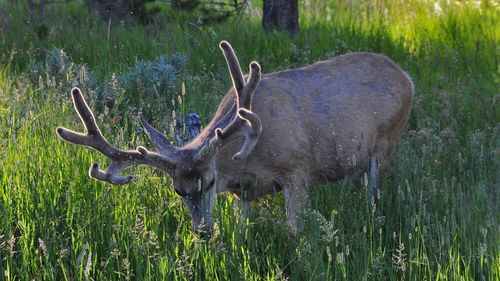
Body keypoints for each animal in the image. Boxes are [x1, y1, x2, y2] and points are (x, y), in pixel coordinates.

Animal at [55, 41, 414, 234]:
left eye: (211, 181)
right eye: (178, 190)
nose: (202, 232)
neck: (247, 157)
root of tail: (406, 76)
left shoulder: (299, 170)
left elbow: (294, 232)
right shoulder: (246, 191)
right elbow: (242, 231)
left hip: (386, 143)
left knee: (374, 194)